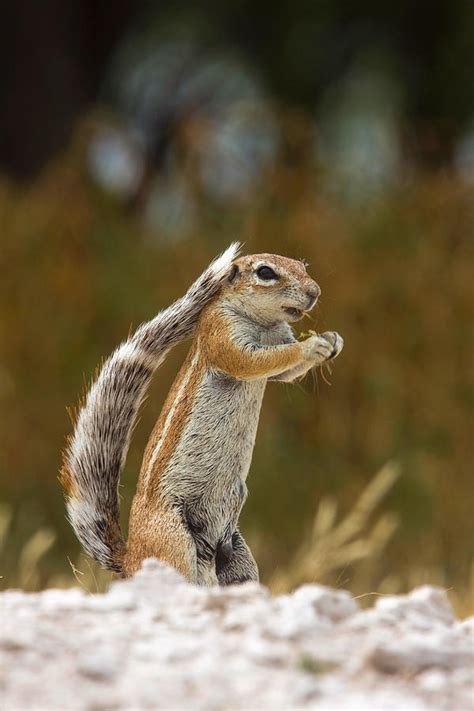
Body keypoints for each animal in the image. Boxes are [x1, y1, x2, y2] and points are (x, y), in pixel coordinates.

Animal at [61, 242, 342, 588]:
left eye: (303, 266)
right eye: (265, 272)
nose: (315, 292)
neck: (265, 325)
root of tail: (130, 561)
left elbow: (286, 371)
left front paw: (333, 340)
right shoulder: (221, 335)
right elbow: (255, 361)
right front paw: (312, 346)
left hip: (237, 554)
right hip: (173, 541)